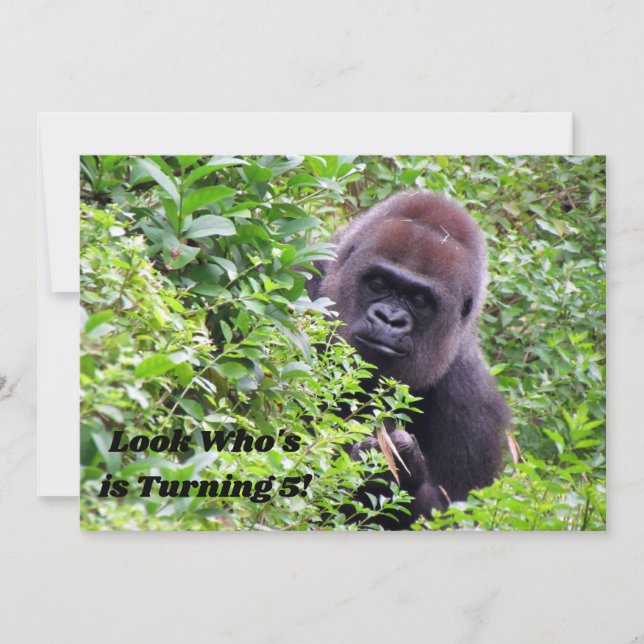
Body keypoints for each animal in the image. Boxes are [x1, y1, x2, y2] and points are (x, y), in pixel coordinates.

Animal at [309, 191, 510, 528]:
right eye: (379, 283)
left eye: (419, 300)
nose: (389, 320)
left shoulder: (475, 407)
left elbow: (454, 515)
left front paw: (401, 472)